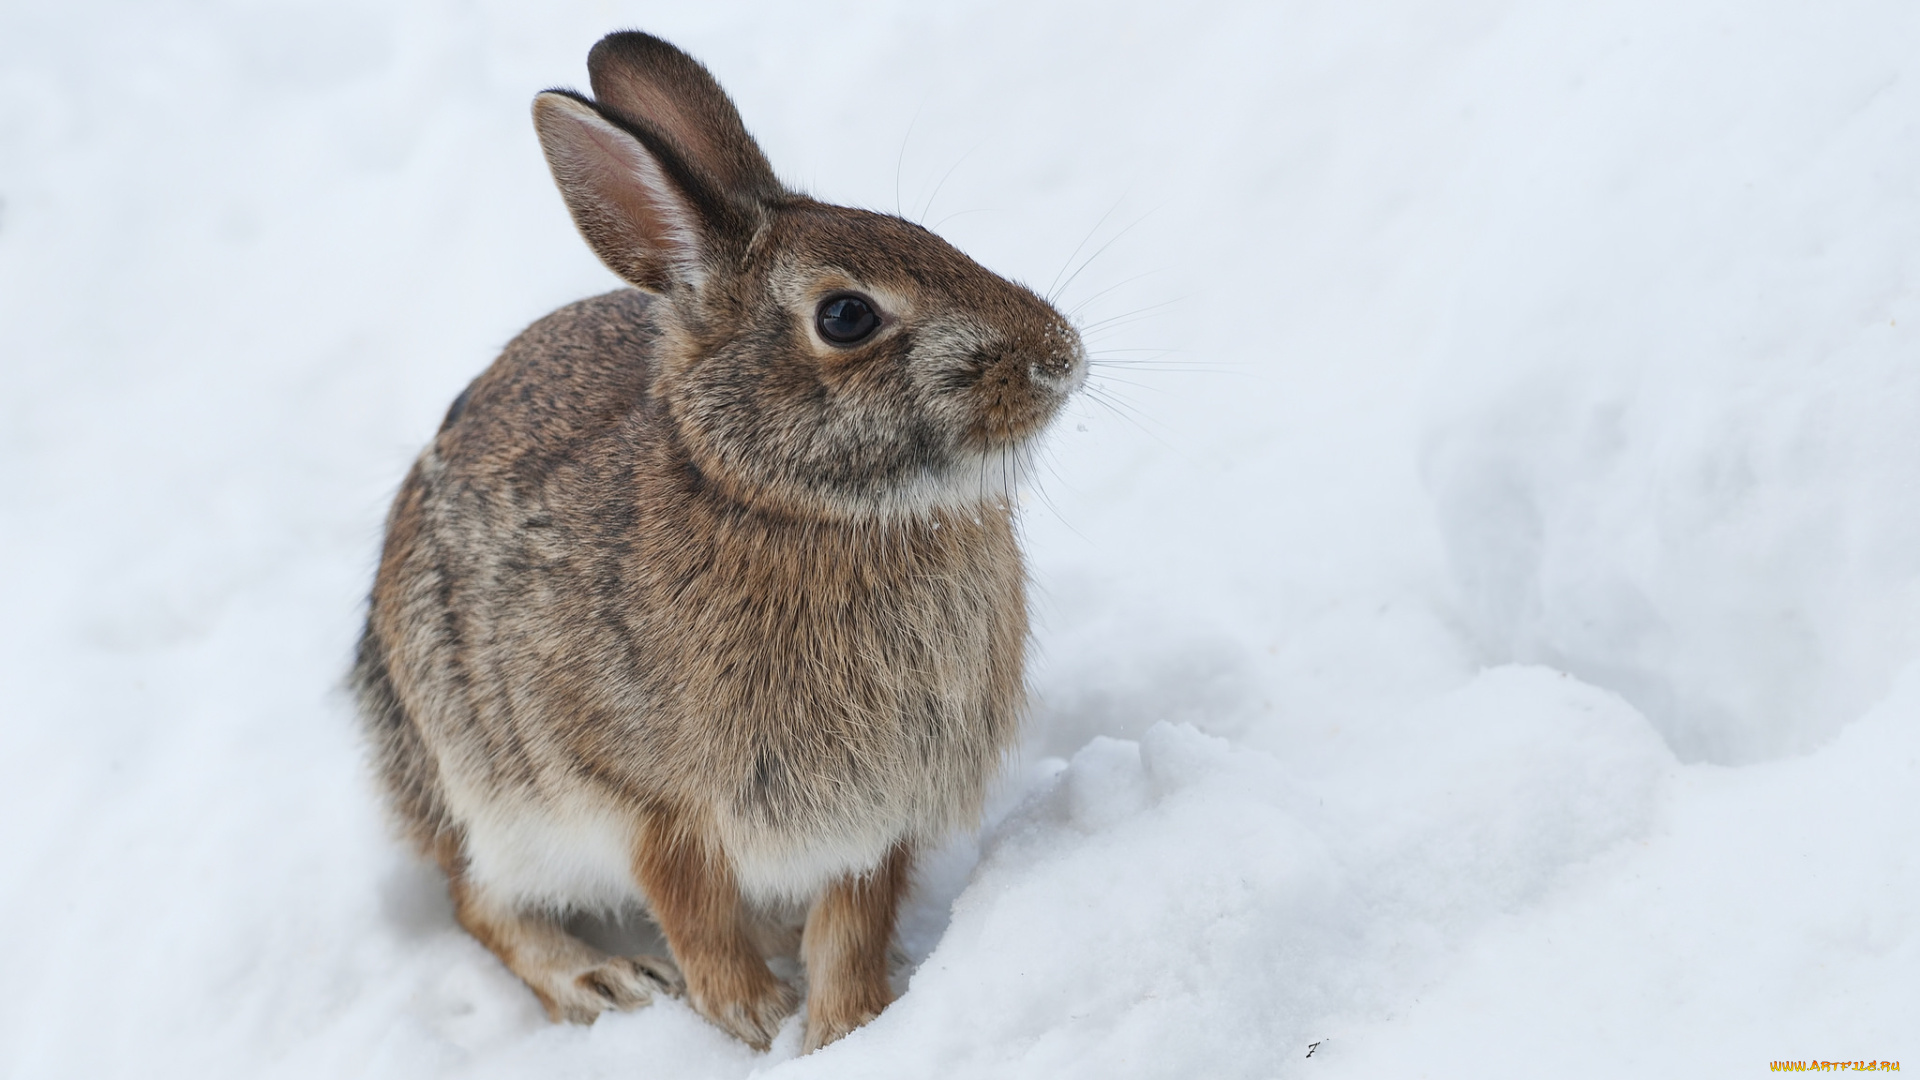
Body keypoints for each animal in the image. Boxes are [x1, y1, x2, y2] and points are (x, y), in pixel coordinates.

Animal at [353, 31, 1090, 1053]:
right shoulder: (640, 795)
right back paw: (600, 979)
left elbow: (855, 918)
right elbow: (689, 902)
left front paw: (846, 1026)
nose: (1060, 356)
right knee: (478, 900)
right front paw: (751, 1017)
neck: (793, 507)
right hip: (484, 785)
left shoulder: (880, 815)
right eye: (847, 316)